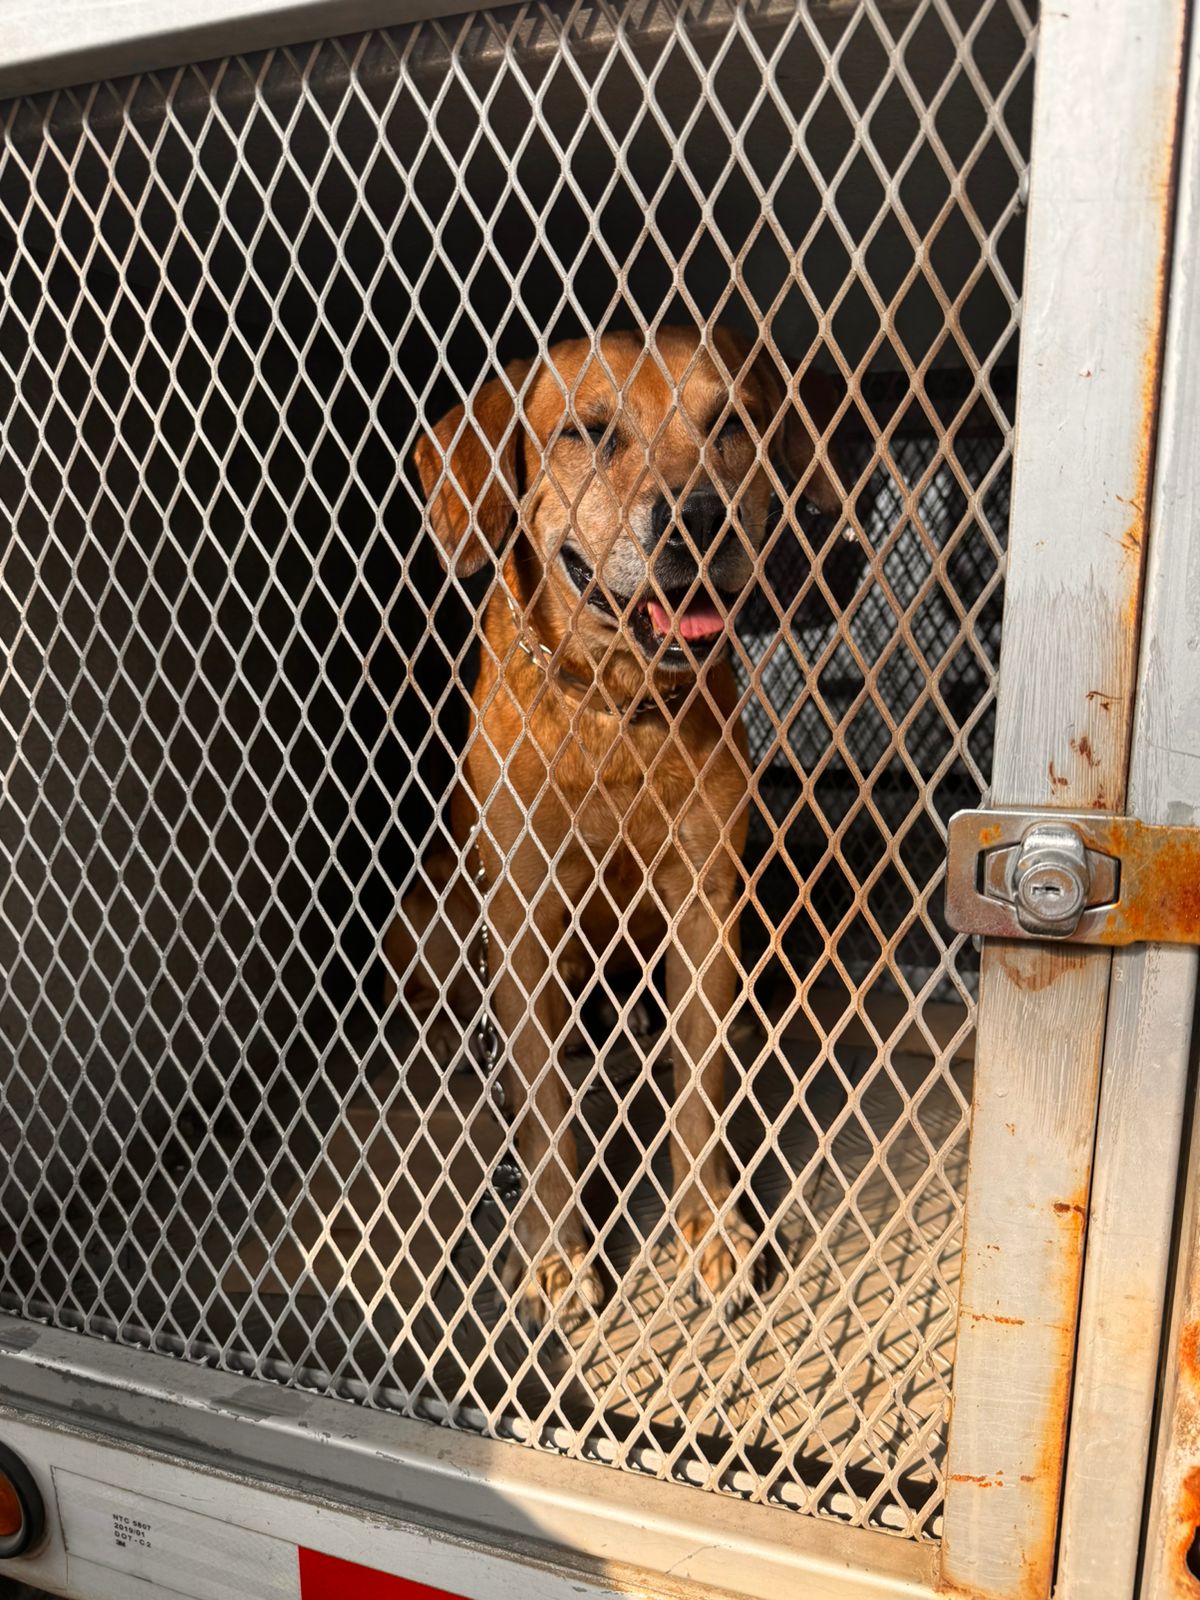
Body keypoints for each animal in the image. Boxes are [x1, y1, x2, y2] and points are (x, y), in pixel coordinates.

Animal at [390, 324, 838, 1324]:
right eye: (589, 432)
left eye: (730, 421)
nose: (701, 519)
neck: (618, 708)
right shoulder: (523, 916)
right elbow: (544, 1103)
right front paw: (556, 1249)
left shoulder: (705, 899)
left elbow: (700, 1086)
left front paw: (710, 1226)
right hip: (430, 916)